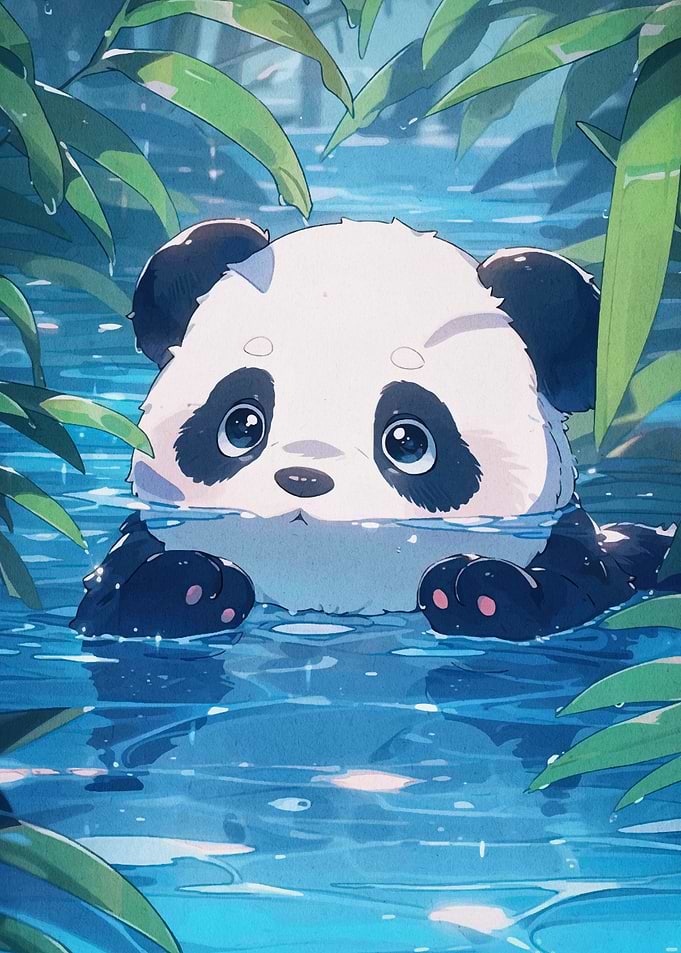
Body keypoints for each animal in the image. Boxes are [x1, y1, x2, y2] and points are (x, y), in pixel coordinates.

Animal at [71, 217, 676, 641]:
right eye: (241, 425)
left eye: (408, 441)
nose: (303, 480)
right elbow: (109, 599)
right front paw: (189, 583)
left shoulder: (575, 549)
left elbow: (571, 590)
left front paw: (475, 589)